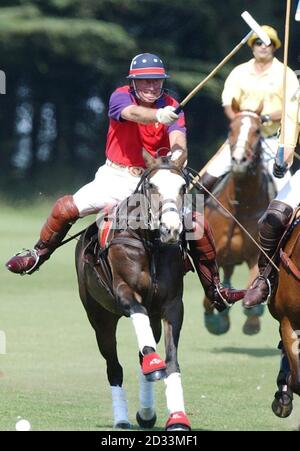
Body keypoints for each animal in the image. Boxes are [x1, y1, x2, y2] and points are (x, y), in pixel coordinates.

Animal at [75, 151, 192, 430]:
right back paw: (121, 419)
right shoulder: (123, 292)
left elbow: (171, 362)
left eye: (183, 187)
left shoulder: (172, 305)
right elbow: (137, 311)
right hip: (100, 317)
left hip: (154, 319)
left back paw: (146, 413)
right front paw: (153, 362)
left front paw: (178, 417)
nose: (171, 229)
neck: (150, 245)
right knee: (113, 367)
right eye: (152, 186)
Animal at [203, 103, 270, 336]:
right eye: (230, 129)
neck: (240, 206)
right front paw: (215, 322)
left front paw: (252, 320)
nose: (239, 161)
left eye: (258, 131)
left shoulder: (256, 254)